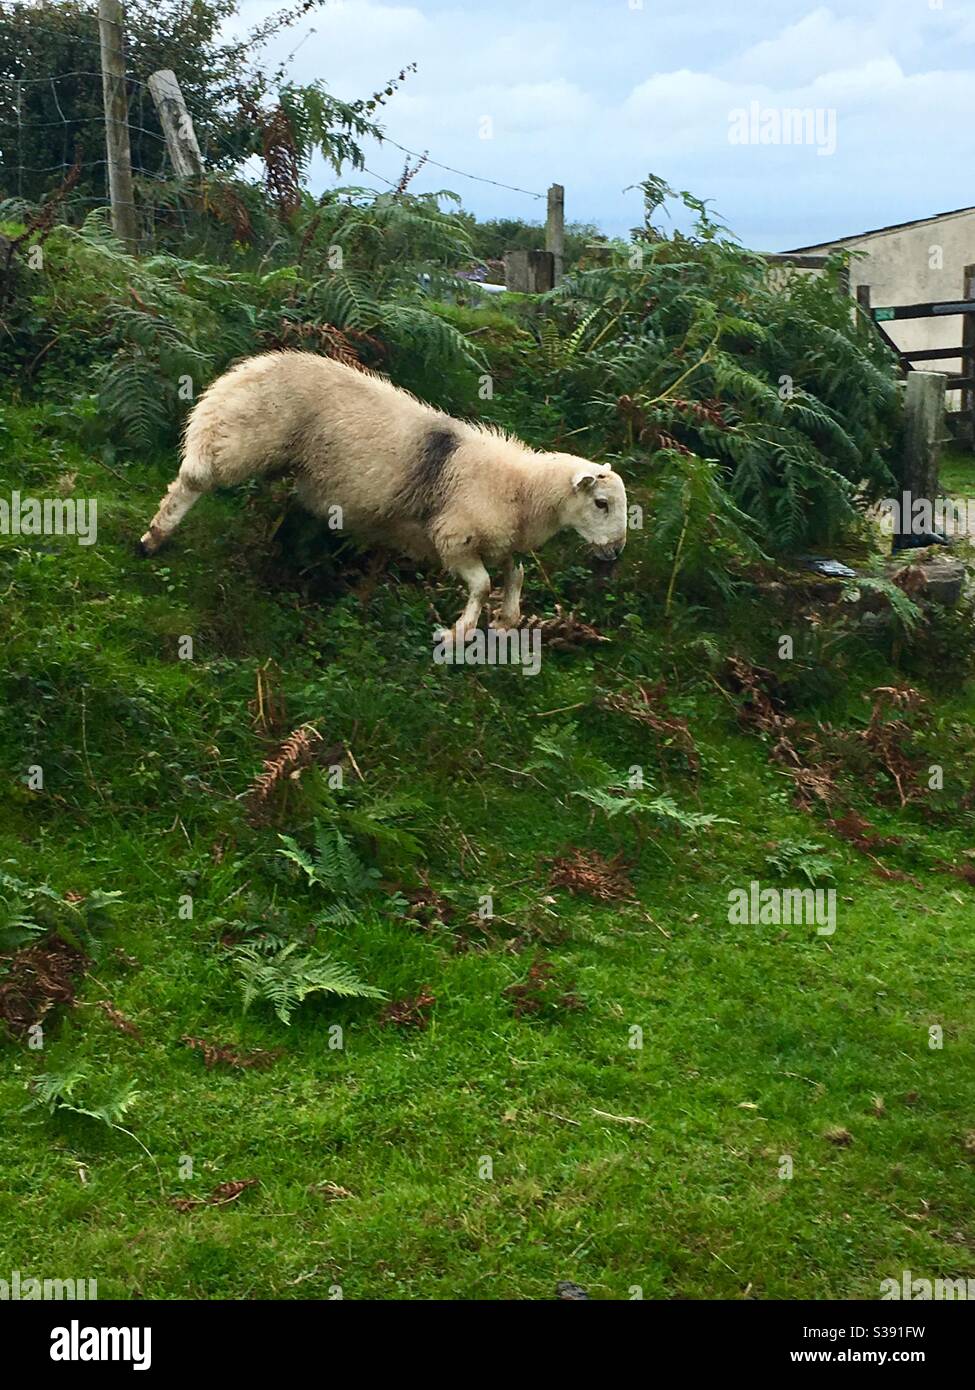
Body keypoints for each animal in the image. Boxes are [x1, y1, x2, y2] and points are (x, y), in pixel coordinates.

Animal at [137, 347, 628, 636]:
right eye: (601, 503)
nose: (616, 553)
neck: (523, 490)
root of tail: (242, 372)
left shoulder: (498, 539)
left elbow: (515, 574)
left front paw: (506, 621)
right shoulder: (454, 537)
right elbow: (483, 584)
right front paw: (458, 635)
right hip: (241, 438)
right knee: (193, 480)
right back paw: (153, 537)